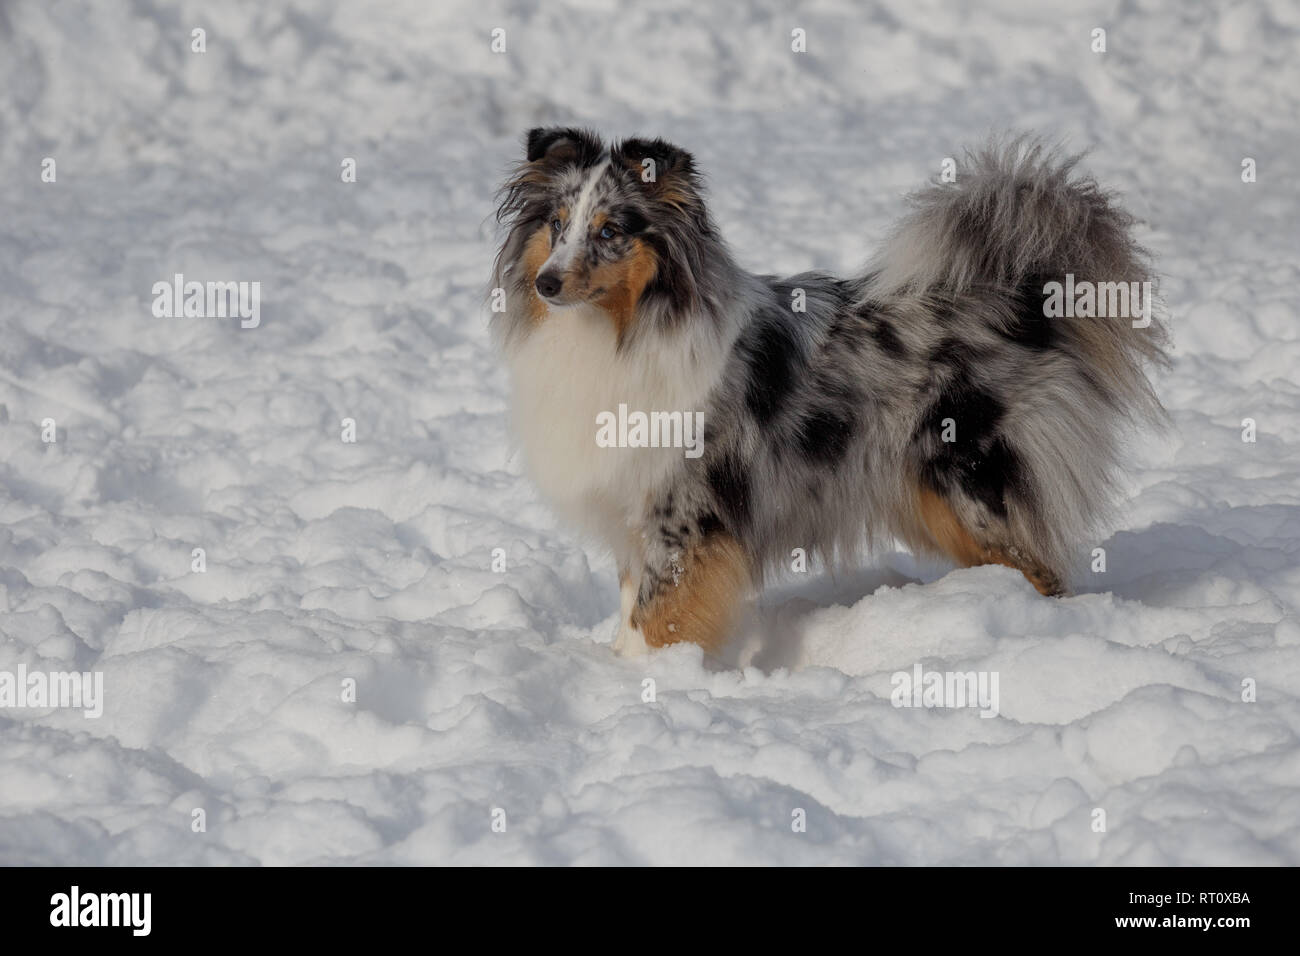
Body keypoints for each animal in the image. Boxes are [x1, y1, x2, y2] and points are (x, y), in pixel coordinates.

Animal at [488, 128, 1170, 658]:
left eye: (609, 231)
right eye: (557, 226)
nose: (547, 284)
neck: (615, 333)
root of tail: (1017, 306)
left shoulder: (686, 513)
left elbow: (659, 613)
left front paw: (640, 679)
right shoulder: (633, 506)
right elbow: (635, 604)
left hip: (970, 486)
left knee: (1042, 569)